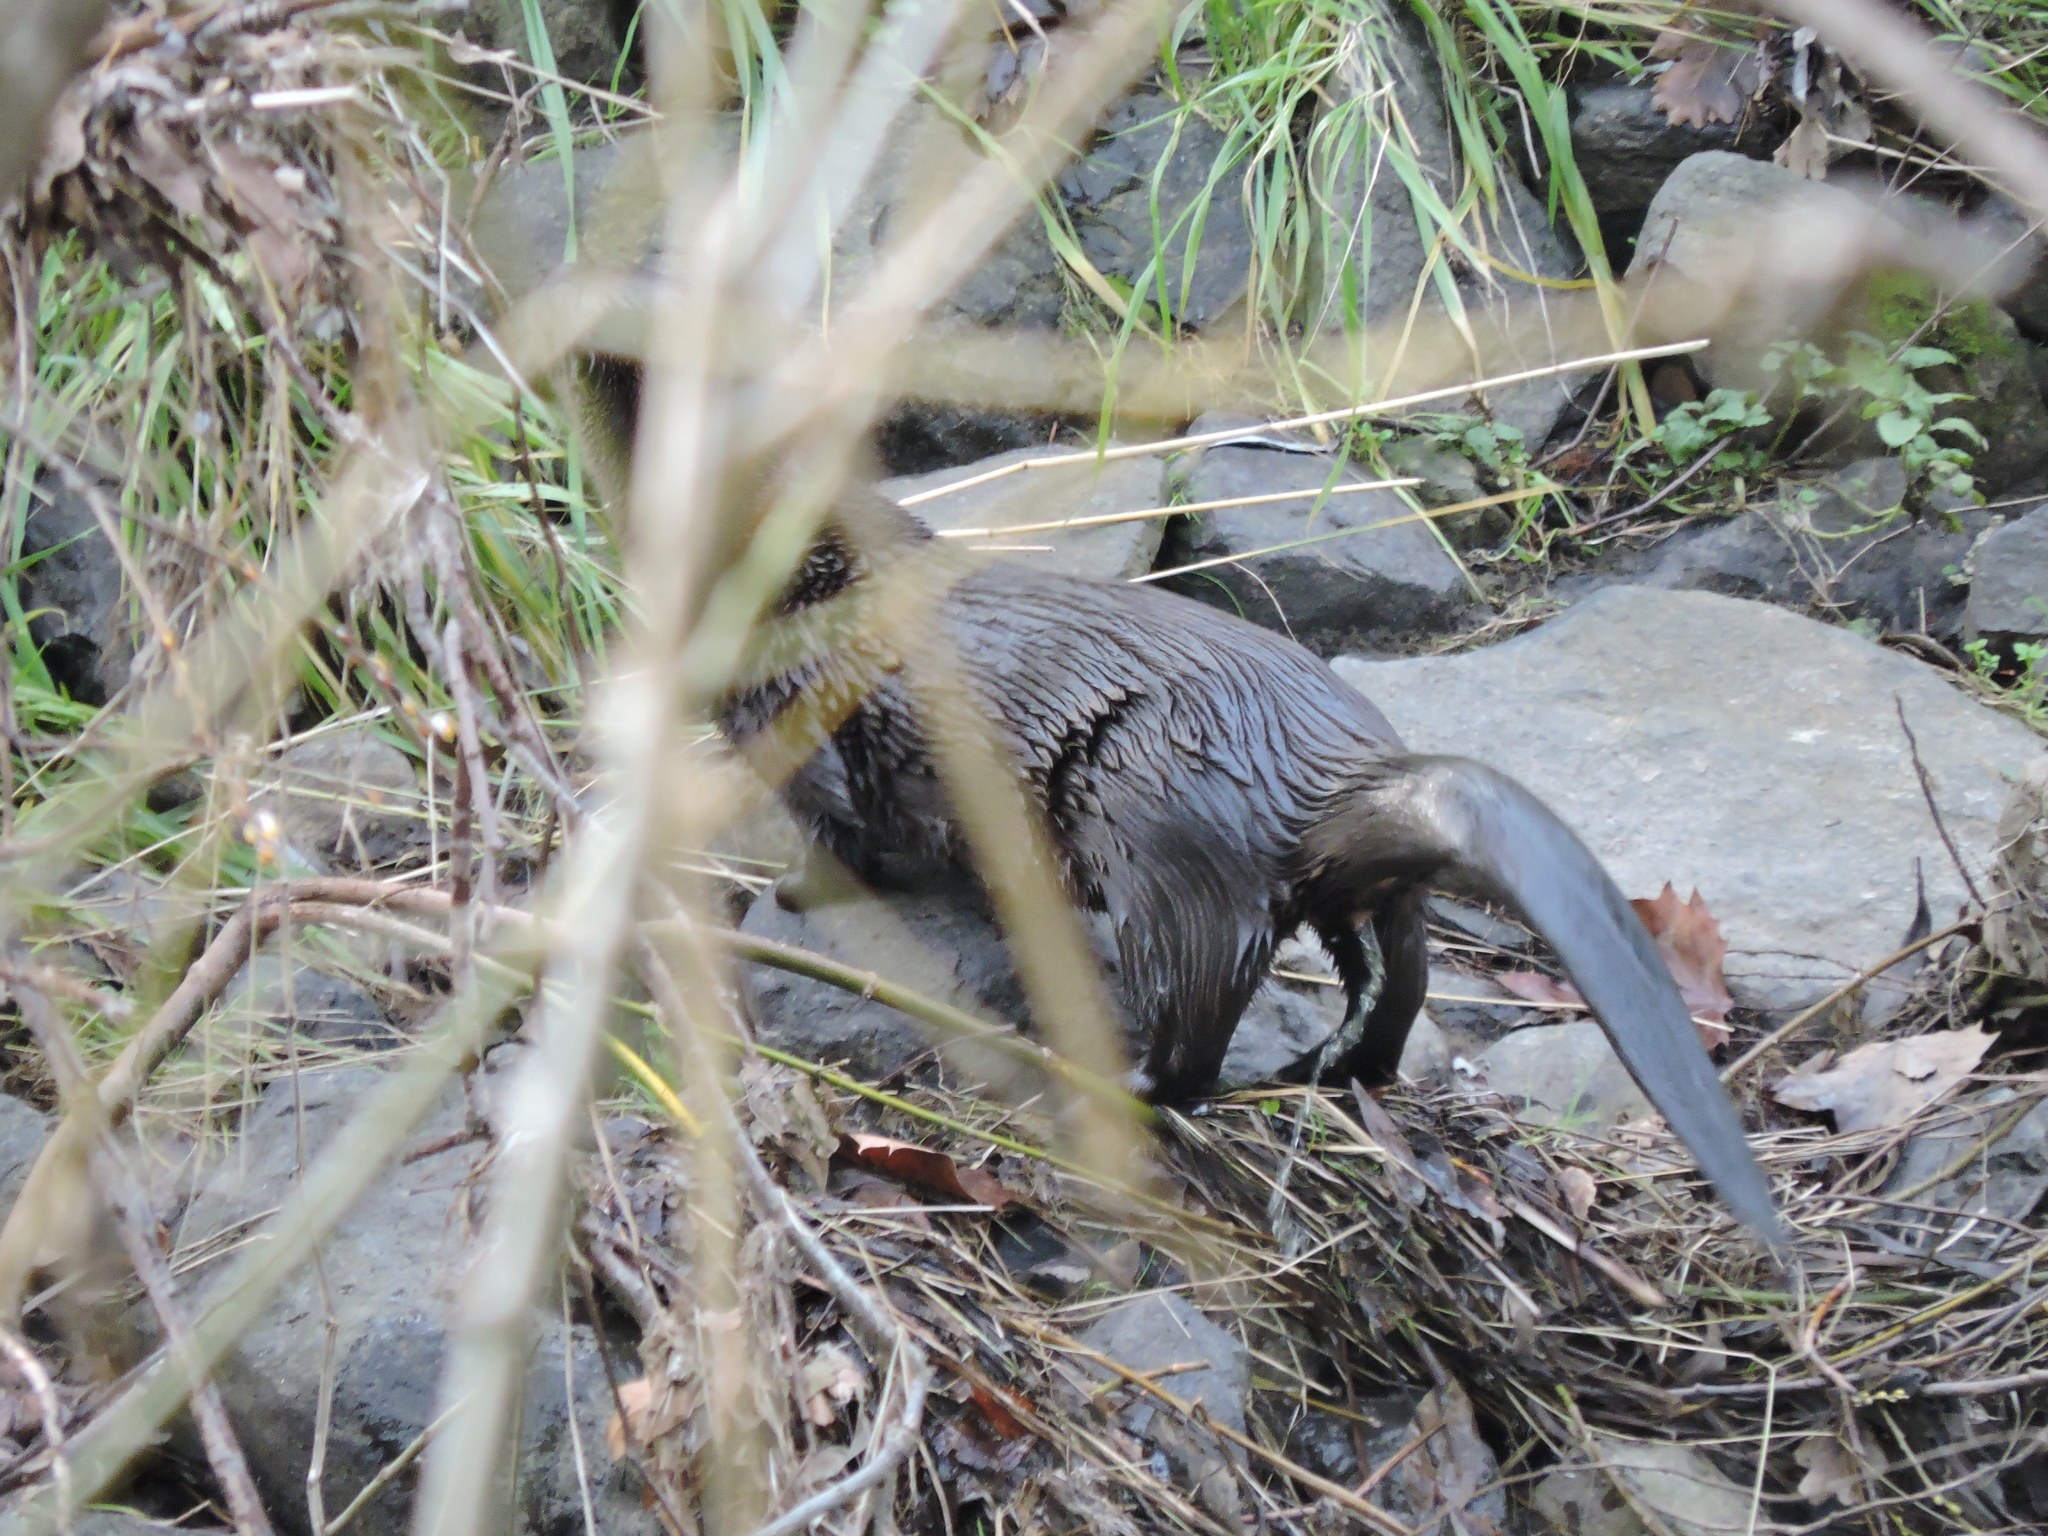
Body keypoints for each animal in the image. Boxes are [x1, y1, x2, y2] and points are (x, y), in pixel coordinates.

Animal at [719, 486, 1785, 1248]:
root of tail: (1317, 770)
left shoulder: (808, 739)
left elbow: (842, 843)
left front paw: (790, 895)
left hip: (1153, 839)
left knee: (1198, 1013)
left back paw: (1115, 1081)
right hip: (1374, 902)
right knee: (1396, 988)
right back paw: (1321, 1069)